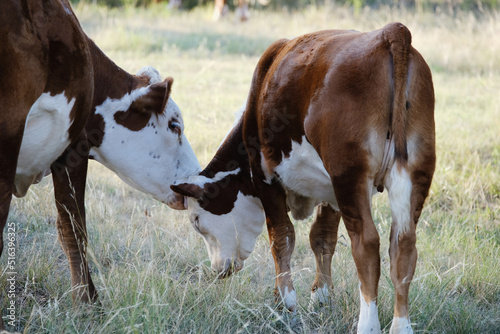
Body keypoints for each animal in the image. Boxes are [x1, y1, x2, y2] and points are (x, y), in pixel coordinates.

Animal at [170, 22, 436, 332]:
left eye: (197, 222)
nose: (217, 270)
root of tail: (390, 32)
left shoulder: (265, 176)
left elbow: (281, 237)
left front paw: (285, 305)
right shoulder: (330, 191)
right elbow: (322, 237)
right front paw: (321, 299)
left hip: (349, 175)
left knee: (367, 244)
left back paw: (367, 323)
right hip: (413, 172)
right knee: (404, 245)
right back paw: (401, 324)